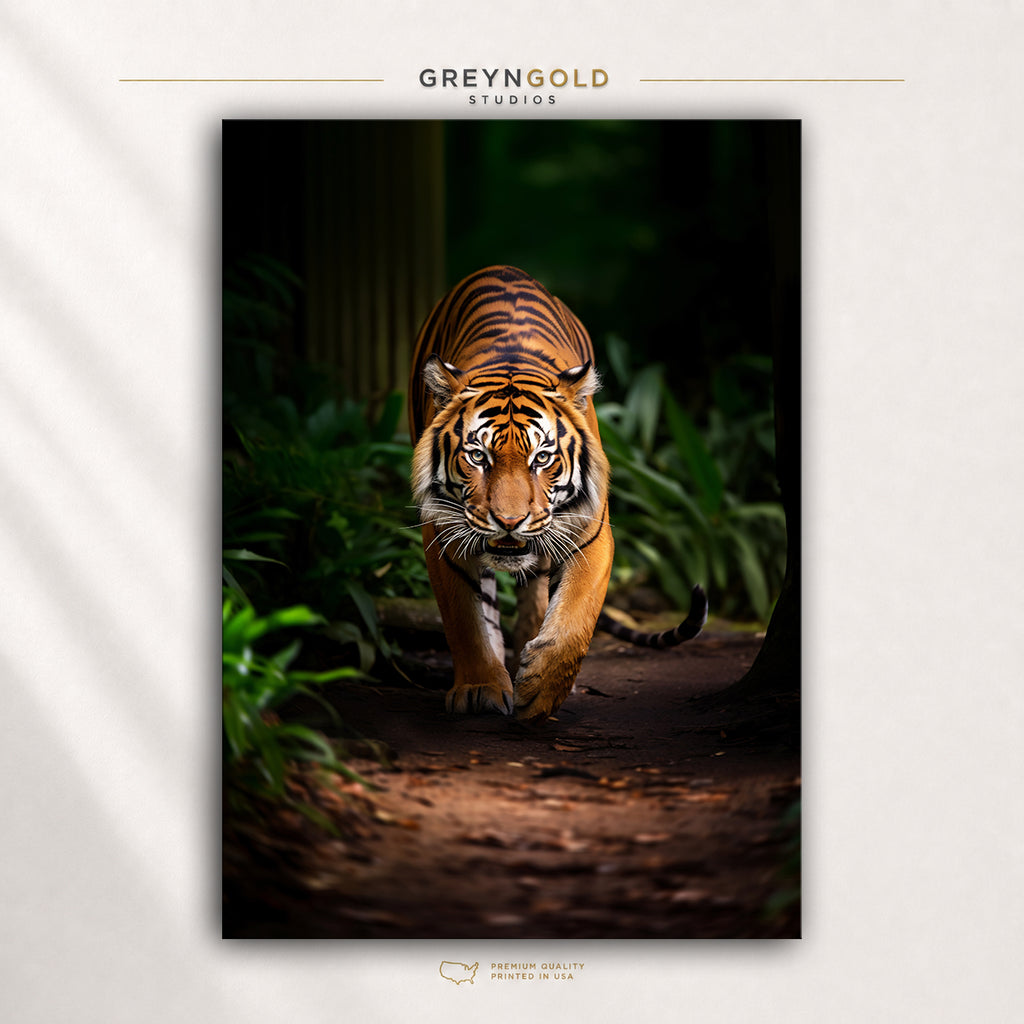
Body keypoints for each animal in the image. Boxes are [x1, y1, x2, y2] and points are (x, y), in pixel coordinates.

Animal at [410, 265, 707, 723]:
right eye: (478, 456)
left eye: (542, 457)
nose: (509, 522)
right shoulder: (442, 532)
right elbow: (465, 620)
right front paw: (479, 687)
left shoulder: (591, 534)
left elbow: (574, 620)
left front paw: (541, 689)